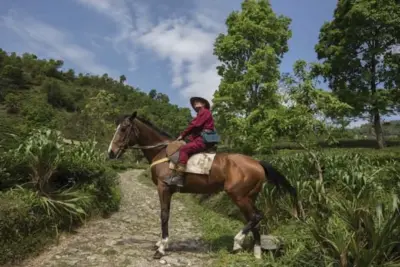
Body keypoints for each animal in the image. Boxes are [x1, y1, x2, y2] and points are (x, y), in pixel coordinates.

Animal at [108, 112, 302, 260]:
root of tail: (257, 162)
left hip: (238, 196)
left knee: (256, 217)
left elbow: (164, 216)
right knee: (255, 220)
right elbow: (165, 215)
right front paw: (160, 243)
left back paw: (237, 242)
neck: (162, 152)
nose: (111, 153)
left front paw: (162, 247)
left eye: (123, 129)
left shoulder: (164, 188)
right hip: (249, 197)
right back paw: (257, 254)